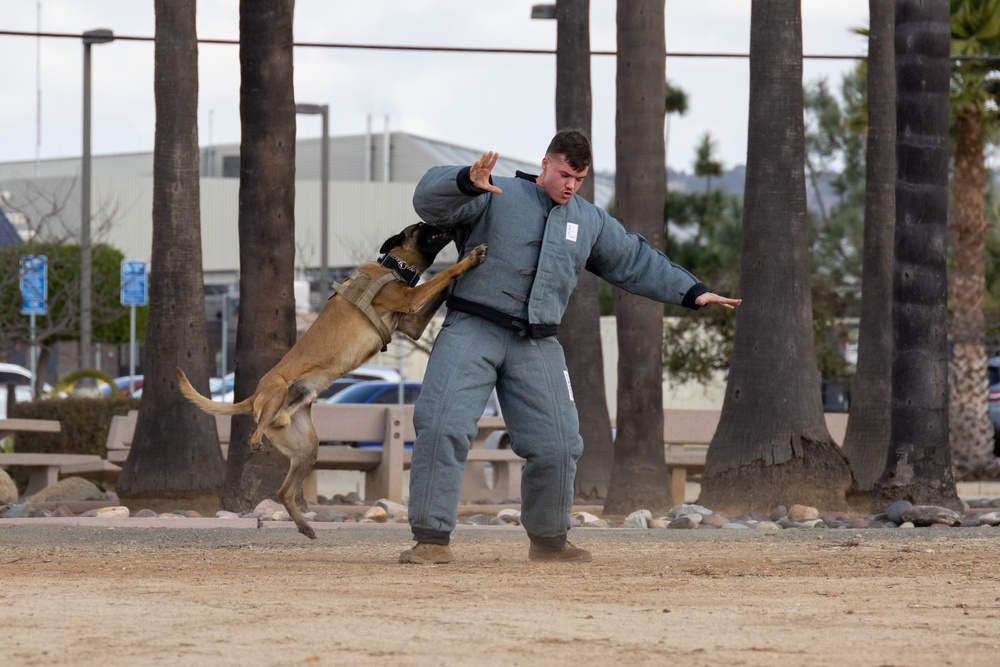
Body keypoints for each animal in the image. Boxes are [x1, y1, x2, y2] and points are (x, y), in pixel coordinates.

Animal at [181, 223, 492, 536]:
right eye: (420, 227)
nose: (446, 224)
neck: (394, 266)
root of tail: (255, 398)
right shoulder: (409, 299)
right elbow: (442, 276)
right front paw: (468, 260)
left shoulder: (413, 325)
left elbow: (440, 289)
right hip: (278, 389)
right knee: (257, 435)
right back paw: (256, 441)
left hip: (307, 448)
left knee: (283, 491)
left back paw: (304, 525)